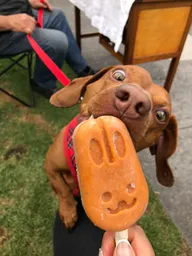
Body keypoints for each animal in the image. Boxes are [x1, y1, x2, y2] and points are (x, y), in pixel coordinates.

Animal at [44, 65, 178, 229]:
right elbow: (62, 189)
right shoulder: (50, 165)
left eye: (161, 115)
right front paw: (68, 211)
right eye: (118, 75)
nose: (133, 100)